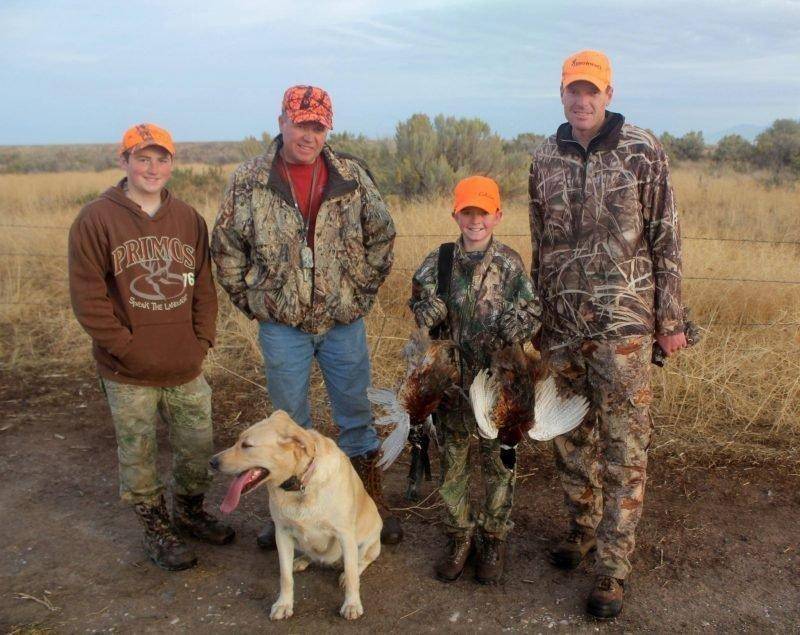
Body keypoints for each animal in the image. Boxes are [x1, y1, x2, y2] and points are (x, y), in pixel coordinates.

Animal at [211, 412, 382, 620]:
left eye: (247, 445)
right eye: (237, 441)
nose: (212, 462)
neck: (300, 484)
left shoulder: (345, 535)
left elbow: (351, 575)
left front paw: (351, 604)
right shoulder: (282, 533)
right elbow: (285, 577)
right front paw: (284, 604)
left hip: (368, 541)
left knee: (360, 562)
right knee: (312, 555)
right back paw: (301, 561)